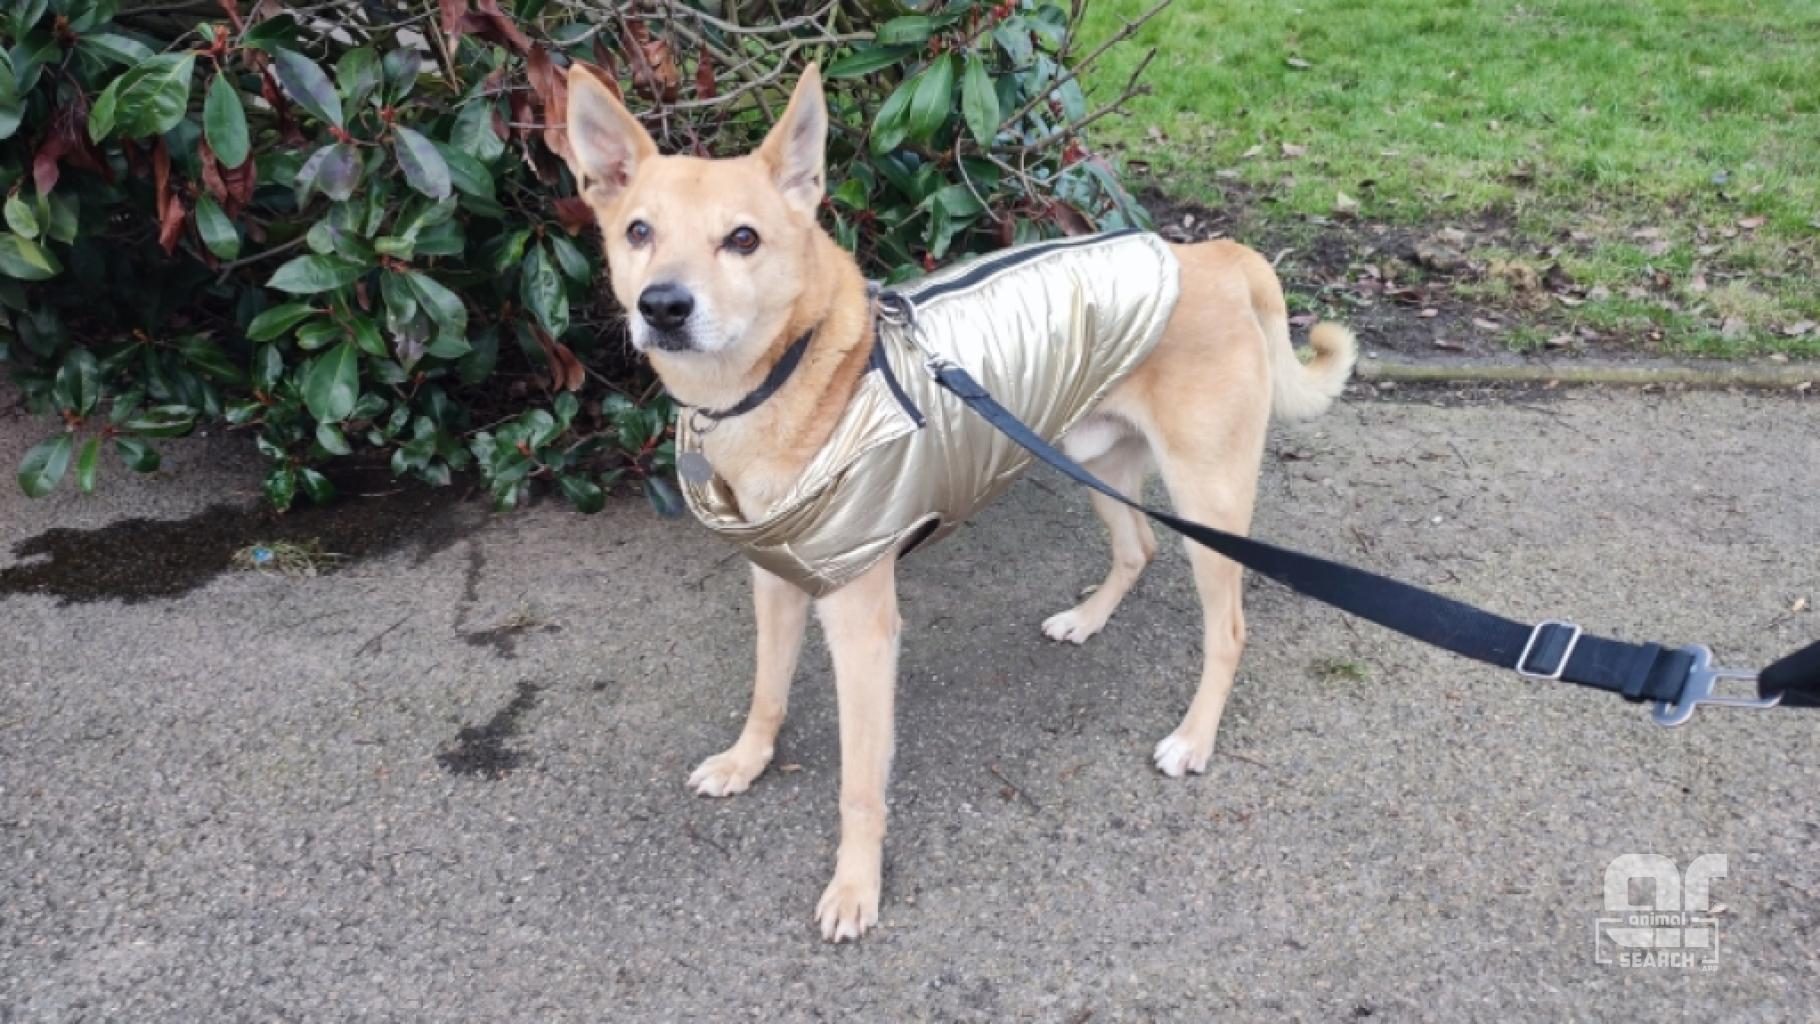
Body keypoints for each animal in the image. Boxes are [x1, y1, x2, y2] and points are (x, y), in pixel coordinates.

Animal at [562, 63, 1356, 941]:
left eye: (743, 239)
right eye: (639, 231)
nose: (662, 306)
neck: (790, 380)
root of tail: (1215, 252)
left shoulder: (863, 626)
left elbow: (860, 784)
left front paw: (855, 887)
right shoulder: (775, 577)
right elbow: (767, 690)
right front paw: (748, 760)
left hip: (1207, 503)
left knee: (1229, 630)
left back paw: (1193, 737)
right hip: (1094, 457)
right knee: (1137, 548)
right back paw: (1088, 619)